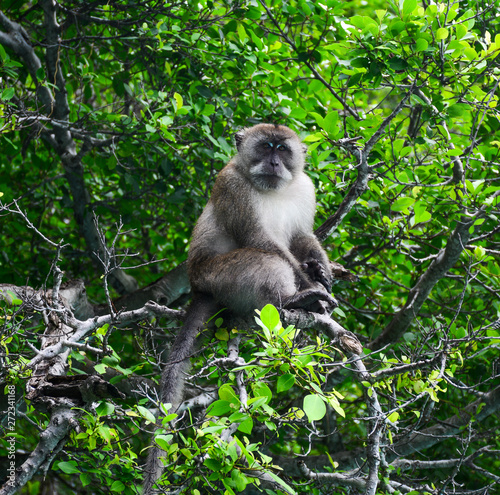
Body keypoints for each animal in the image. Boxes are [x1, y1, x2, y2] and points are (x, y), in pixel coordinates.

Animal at [143, 123, 334, 492]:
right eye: (265, 146)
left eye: (283, 149)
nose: (274, 162)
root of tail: (199, 285)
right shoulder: (232, 186)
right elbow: (263, 241)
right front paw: (311, 287)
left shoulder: (305, 189)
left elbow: (301, 236)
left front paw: (320, 268)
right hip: (219, 276)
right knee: (267, 262)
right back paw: (292, 299)